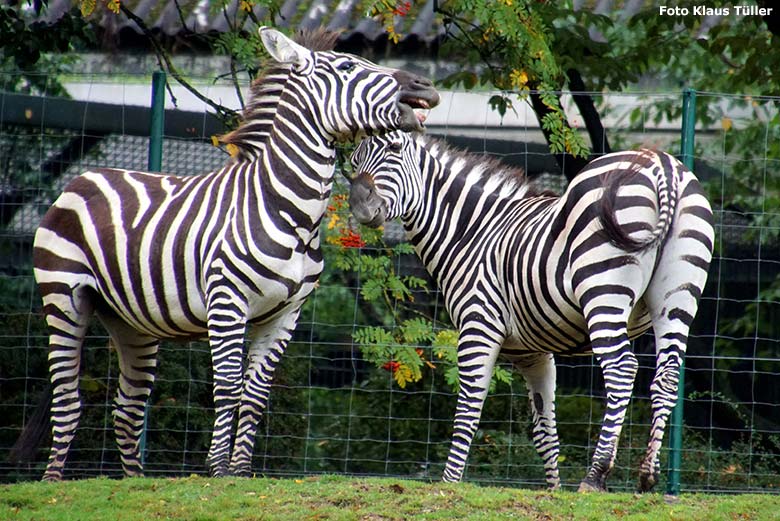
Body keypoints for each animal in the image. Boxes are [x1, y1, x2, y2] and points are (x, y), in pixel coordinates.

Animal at [29, 25, 438, 480]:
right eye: (348, 66)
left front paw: (241, 472)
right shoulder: (227, 302)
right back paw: (52, 480)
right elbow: (227, 386)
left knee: (127, 408)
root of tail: (84, 178)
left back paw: (135, 481)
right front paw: (218, 470)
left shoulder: (286, 313)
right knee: (67, 398)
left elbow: (256, 391)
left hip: (131, 319)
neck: (286, 209)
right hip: (64, 298)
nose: (426, 86)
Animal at [350, 131, 716, 492]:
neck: (473, 232)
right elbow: (544, 429)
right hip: (678, 293)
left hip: (602, 288)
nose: (361, 206)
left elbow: (469, 406)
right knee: (667, 374)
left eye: (395, 148)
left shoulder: (477, 324)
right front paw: (553, 491)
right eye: (354, 161)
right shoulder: (532, 352)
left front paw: (450, 482)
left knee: (621, 369)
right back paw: (648, 473)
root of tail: (662, 165)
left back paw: (595, 475)